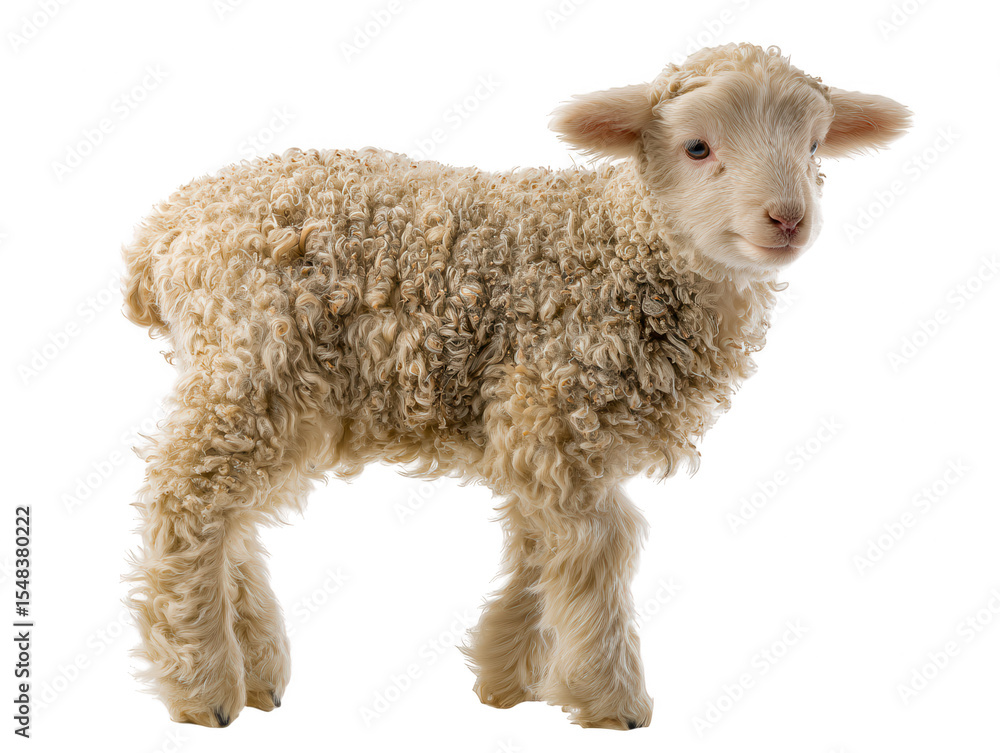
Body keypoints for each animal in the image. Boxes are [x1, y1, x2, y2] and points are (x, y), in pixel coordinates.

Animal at [122, 43, 909, 730]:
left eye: (814, 147)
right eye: (697, 148)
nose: (787, 219)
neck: (620, 244)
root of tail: (164, 229)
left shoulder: (542, 431)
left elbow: (542, 542)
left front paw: (509, 677)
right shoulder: (551, 404)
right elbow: (598, 545)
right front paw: (611, 698)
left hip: (264, 385)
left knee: (232, 516)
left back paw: (255, 670)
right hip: (253, 361)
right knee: (185, 499)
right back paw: (203, 686)